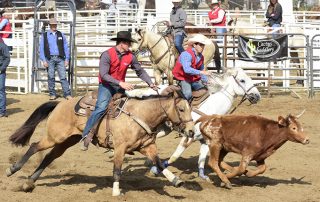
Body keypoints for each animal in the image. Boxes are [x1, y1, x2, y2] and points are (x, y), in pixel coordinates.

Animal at [6, 85, 194, 196]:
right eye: (181, 109)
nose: (191, 131)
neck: (140, 115)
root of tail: (60, 103)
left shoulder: (148, 146)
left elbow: (160, 163)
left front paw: (176, 180)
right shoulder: (120, 148)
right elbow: (117, 170)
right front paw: (116, 192)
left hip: (67, 141)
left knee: (49, 157)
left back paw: (29, 183)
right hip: (55, 136)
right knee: (34, 146)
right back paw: (13, 169)